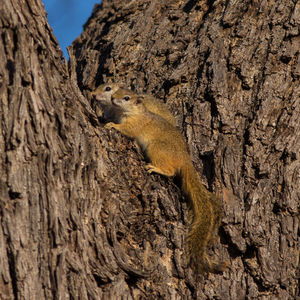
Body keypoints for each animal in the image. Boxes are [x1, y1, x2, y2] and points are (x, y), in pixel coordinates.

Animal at [105, 89, 225, 274]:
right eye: (117, 90)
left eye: (126, 98)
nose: (112, 98)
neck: (135, 112)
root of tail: (184, 159)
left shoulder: (136, 124)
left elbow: (128, 131)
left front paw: (112, 125)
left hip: (157, 148)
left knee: (170, 171)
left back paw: (157, 168)